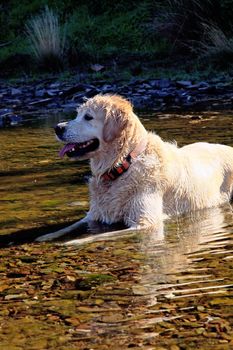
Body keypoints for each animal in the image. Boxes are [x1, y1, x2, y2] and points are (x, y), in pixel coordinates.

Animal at [36, 94, 233, 243]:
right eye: (77, 114)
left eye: (88, 117)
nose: (57, 127)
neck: (123, 164)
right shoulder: (94, 213)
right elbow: (71, 225)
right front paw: (46, 236)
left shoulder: (145, 222)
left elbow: (95, 236)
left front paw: (71, 243)